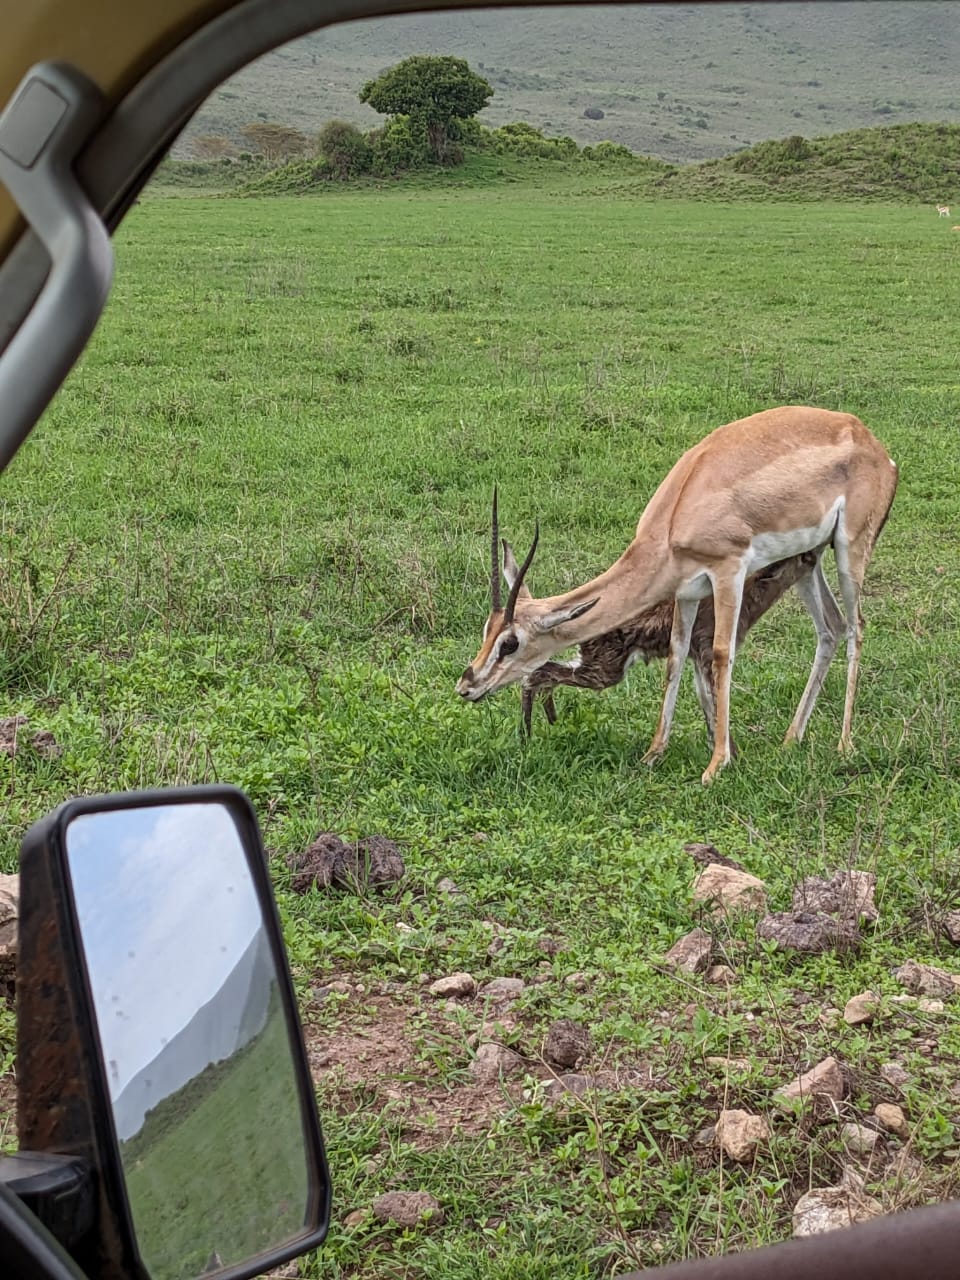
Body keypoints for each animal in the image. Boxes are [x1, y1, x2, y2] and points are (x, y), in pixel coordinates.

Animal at [517, 548, 822, 743]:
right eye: (802, 557)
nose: (815, 555)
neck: (749, 606)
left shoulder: (698, 652)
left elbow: (706, 701)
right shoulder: (707, 644)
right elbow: (714, 699)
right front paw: (731, 753)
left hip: (598, 660)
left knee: (545, 670)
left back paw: (547, 719)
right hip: (606, 664)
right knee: (538, 673)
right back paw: (528, 731)